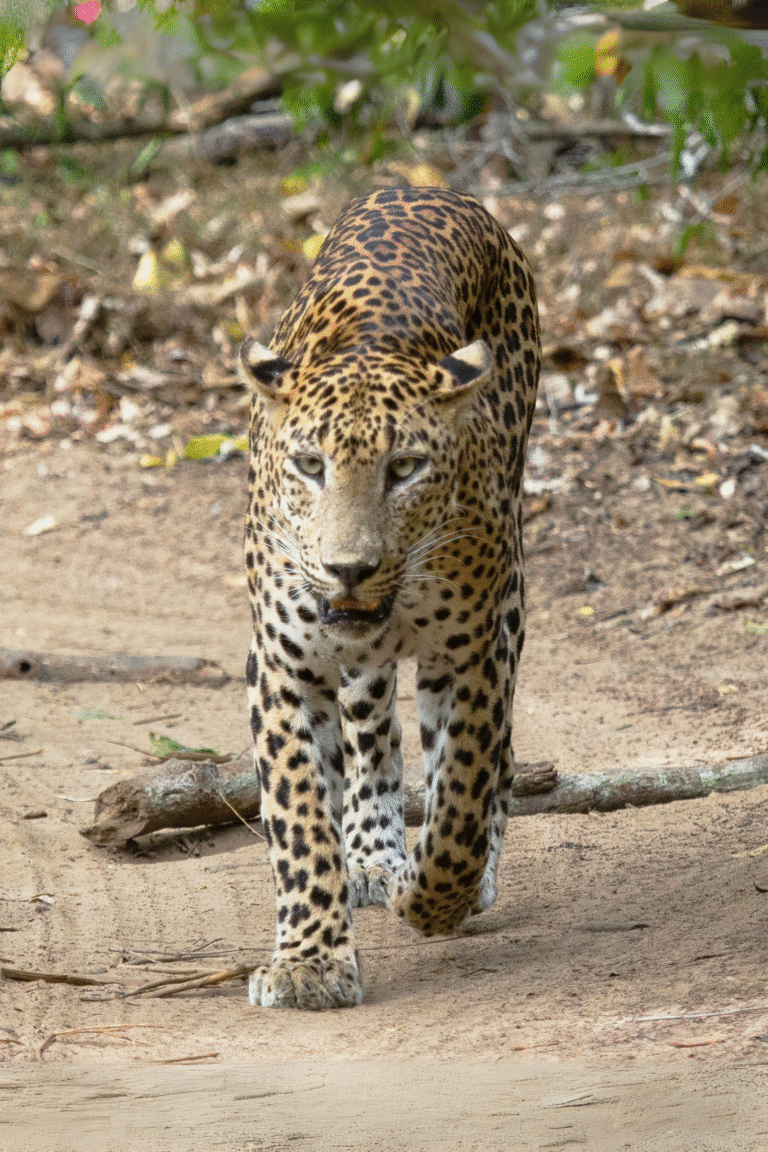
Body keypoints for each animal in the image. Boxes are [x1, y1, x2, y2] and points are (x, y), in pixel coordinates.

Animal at [239, 186, 540, 1009]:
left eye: (404, 468)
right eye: (309, 466)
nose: (349, 568)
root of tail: (423, 186)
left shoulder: (474, 651)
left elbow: (463, 790)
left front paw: (437, 897)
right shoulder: (281, 665)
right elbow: (300, 815)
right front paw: (310, 961)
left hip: (508, 597)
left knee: (482, 761)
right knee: (372, 726)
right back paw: (372, 853)